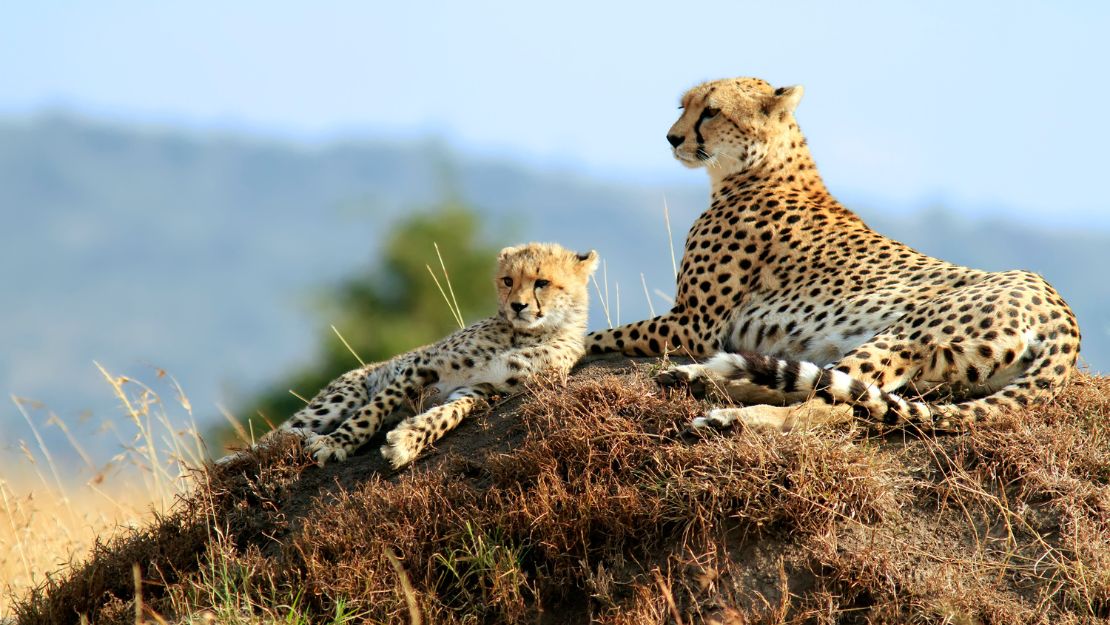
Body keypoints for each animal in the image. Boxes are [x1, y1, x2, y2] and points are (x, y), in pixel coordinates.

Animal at [233, 242, 598, 468]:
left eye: (542, 282)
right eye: (508, 280)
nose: (517, 306)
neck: (526, 333)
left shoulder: (482, 389)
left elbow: (447, 414)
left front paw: (408, 440)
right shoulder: (423, 366)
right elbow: (372, 411)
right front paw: (338, 442)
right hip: (338, 398)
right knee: (259, 444)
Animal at [587, 77, 1081, 433]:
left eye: (711, 111)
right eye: (683, 106)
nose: (672, 138)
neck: (761, 167)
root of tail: (1061, 312)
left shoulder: (694, 324)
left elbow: (599, 335)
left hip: (903, 335)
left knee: (832, 405)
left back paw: (727, 412)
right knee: (825, 389)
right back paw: (705, 380)